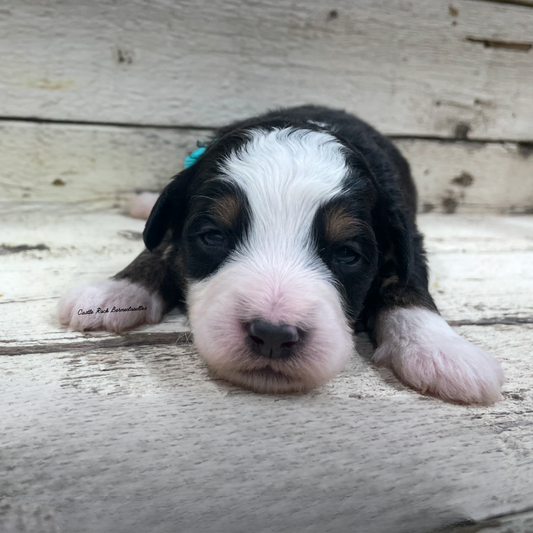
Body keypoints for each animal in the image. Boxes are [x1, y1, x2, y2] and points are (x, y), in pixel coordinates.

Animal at [58, 105, 502, 404]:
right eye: (213, 236)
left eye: (347, 254)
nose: (272, 335)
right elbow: (161, 247)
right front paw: (113, 292)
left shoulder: (409, 237)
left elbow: (406, 283)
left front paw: (441, 350)